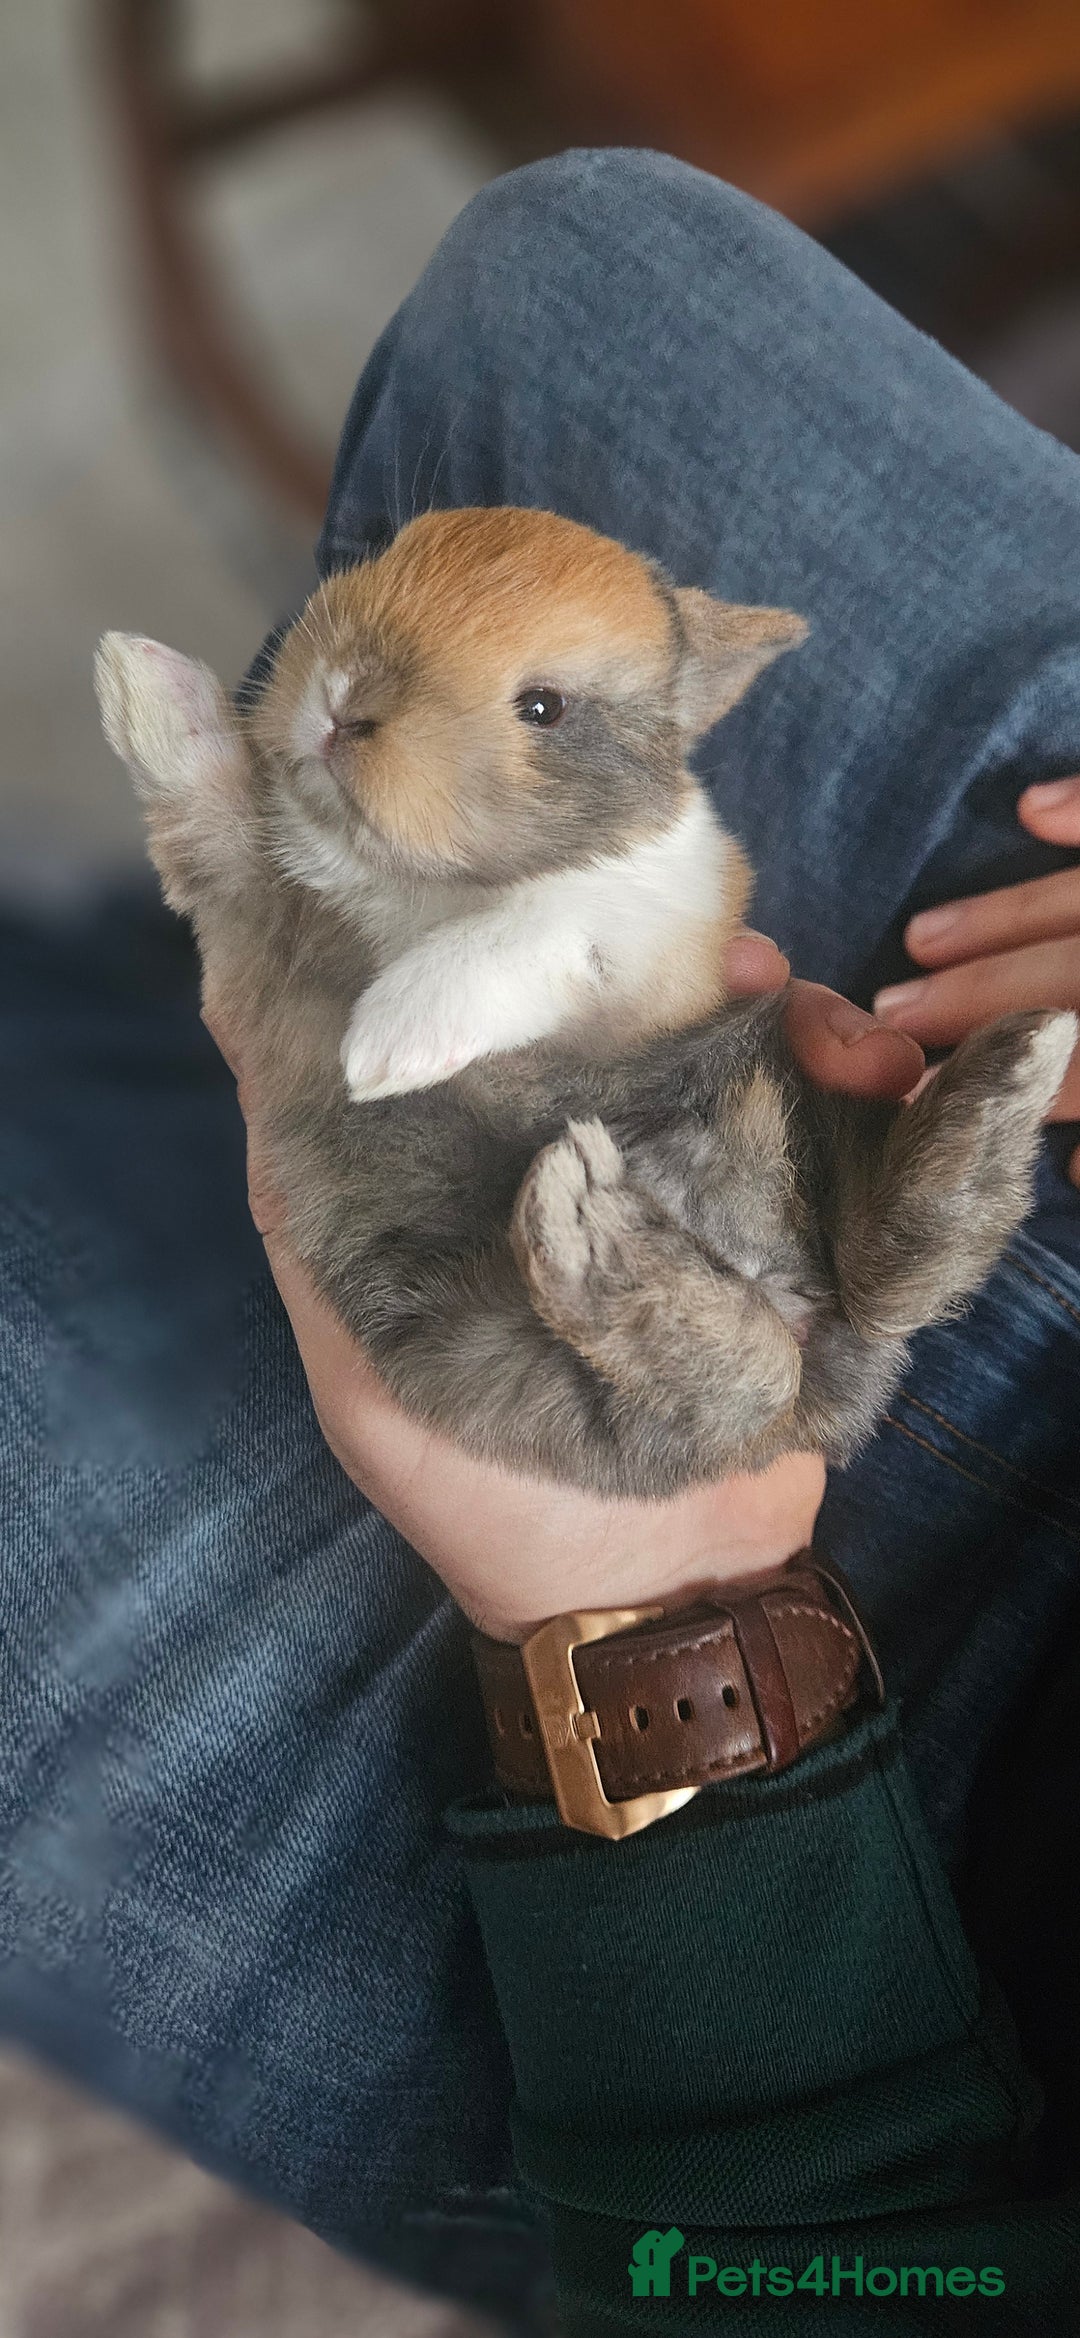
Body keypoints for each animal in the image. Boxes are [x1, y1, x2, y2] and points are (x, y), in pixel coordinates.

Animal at [94, 505, 1076, 1499]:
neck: (414, 881)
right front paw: (137, 672)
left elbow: (545, 924)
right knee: (832, 1314)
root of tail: (817, 1350)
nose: (342, 701)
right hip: (505, 1350)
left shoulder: (650, 939)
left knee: (806, 1344)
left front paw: (390, 1038)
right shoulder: (257, 918)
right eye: (391, 555)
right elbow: (214, 802)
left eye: (543, 708)